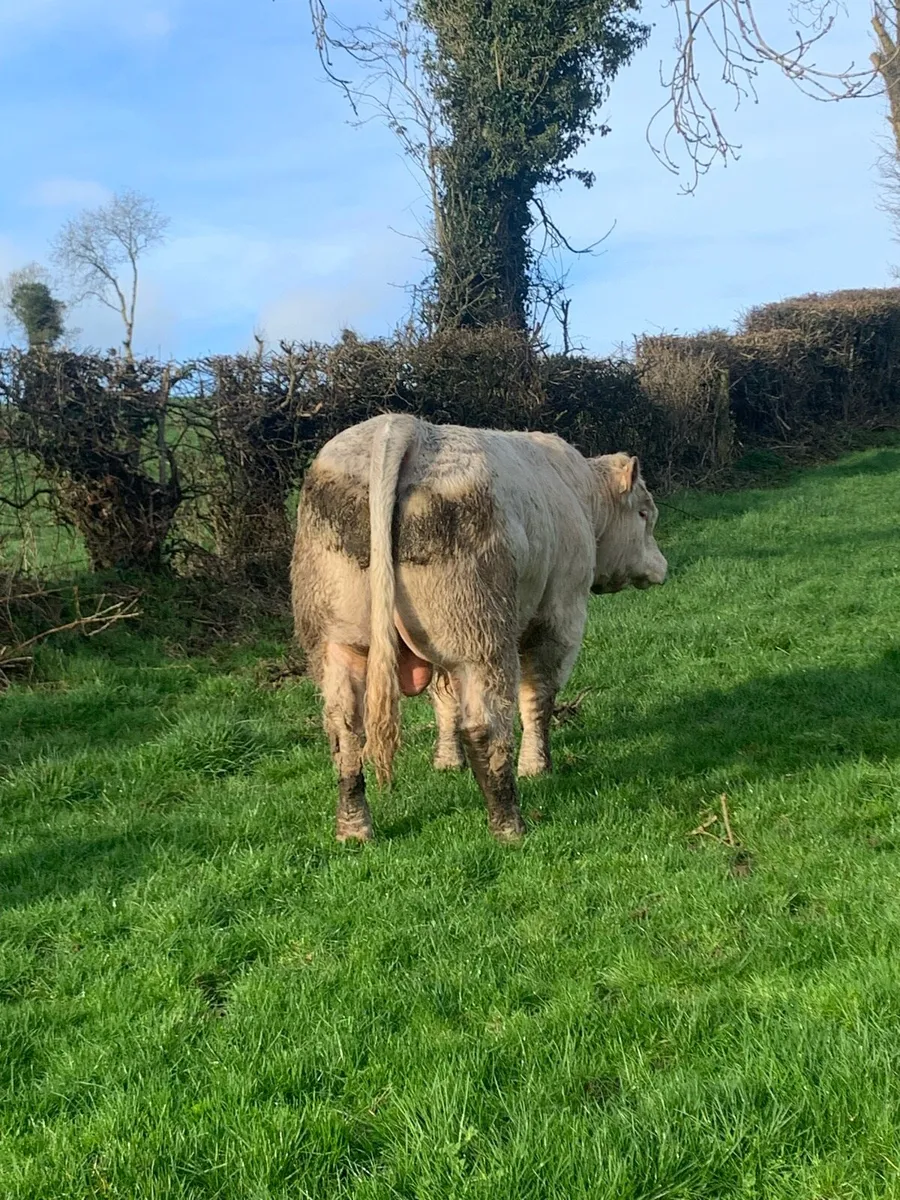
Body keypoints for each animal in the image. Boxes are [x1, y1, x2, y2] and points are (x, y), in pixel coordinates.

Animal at [291, 412, 667, 843]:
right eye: (644, 513)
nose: (662, 567)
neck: (580, 495)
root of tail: (403, 425)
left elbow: (445, 702)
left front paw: (447, 762)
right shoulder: (560, 618)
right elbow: (538, 697)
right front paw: (537, 767)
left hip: (338, 640)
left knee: (345, 728)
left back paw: (354, 828)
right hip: (480, 634)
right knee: (486, 726)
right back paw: (509, 827)